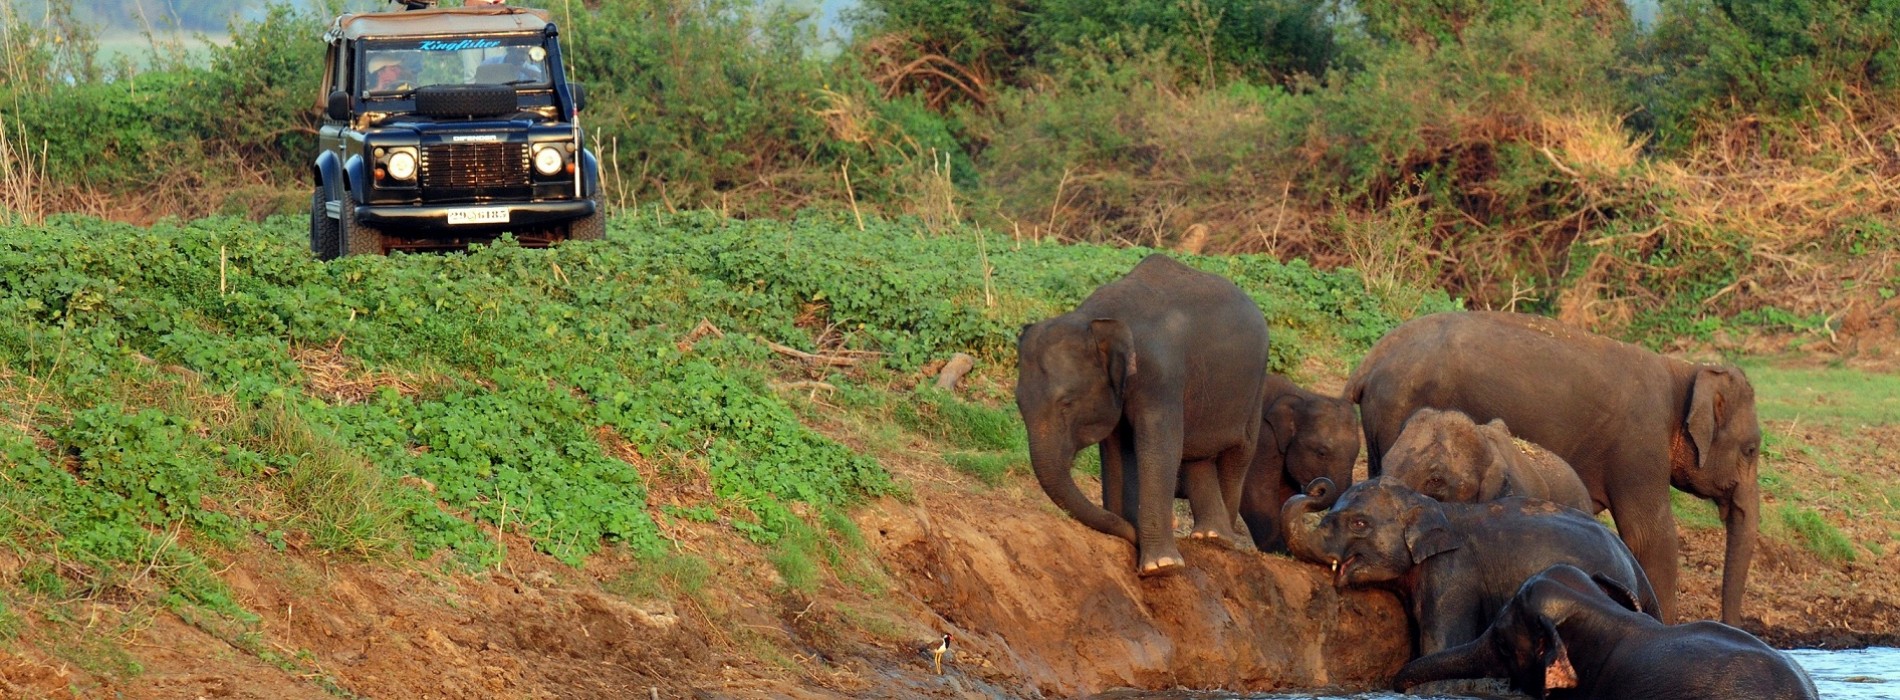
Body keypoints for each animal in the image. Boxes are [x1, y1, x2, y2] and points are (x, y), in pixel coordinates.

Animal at [1018, 254, 1269, 578]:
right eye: (1019, 404)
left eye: (1067, 402)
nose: (1132, 534)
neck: (1097, 319)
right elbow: (1115, 450)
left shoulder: (1161, 373)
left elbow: (1160, 445)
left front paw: (1160, 566)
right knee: (1196, 455)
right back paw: (1209, 535)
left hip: (1256, 386)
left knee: (1238, 453)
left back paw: (1221, 540)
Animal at [1276, 475, 1664, 654]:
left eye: (1359, 523)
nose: (1316, 488)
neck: (1432, 505)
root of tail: (1634, 564)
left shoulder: (1453, 577)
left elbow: (1441, 643)